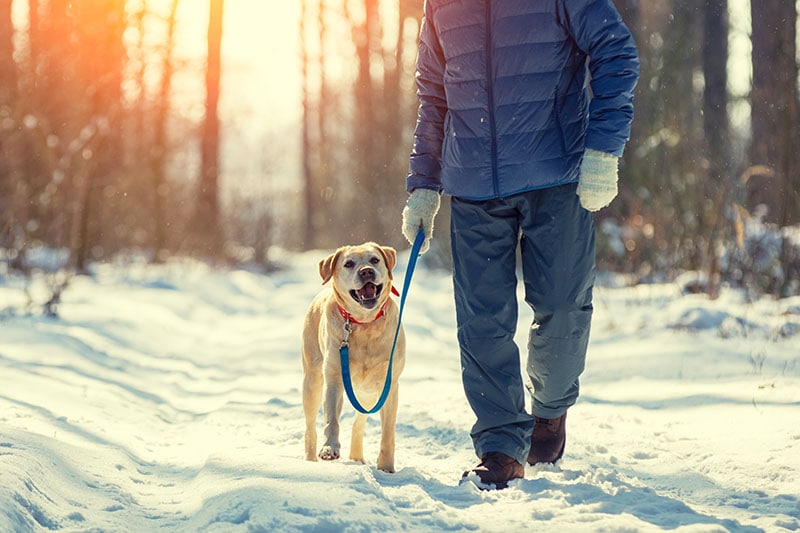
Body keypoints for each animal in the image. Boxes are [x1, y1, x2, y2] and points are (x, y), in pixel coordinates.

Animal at [304, 241, 410, 470]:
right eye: (349, 264)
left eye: (375, 260)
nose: (366, 271)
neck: (364, 323)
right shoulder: (334, 379)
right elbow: (331, 420)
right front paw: (329, 448)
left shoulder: (389, 385)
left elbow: (388, 432)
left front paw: (386, 467)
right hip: (312, 381)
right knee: (310, 426)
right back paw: (310, 459)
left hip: (368, 394)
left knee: (358, 422)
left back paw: (357, 456)